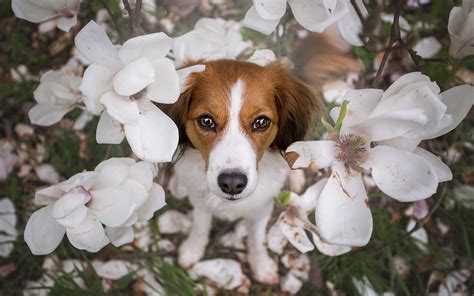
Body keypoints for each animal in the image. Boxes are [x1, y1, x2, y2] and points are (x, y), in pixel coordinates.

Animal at [165, 59, 320, 284]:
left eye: (261, 122)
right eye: (206, 120)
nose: (232, 183)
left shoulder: (261, 207)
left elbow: (257, 239)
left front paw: (261, 265)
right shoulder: (200, 201)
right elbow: (200, 225)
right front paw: (193, 250)